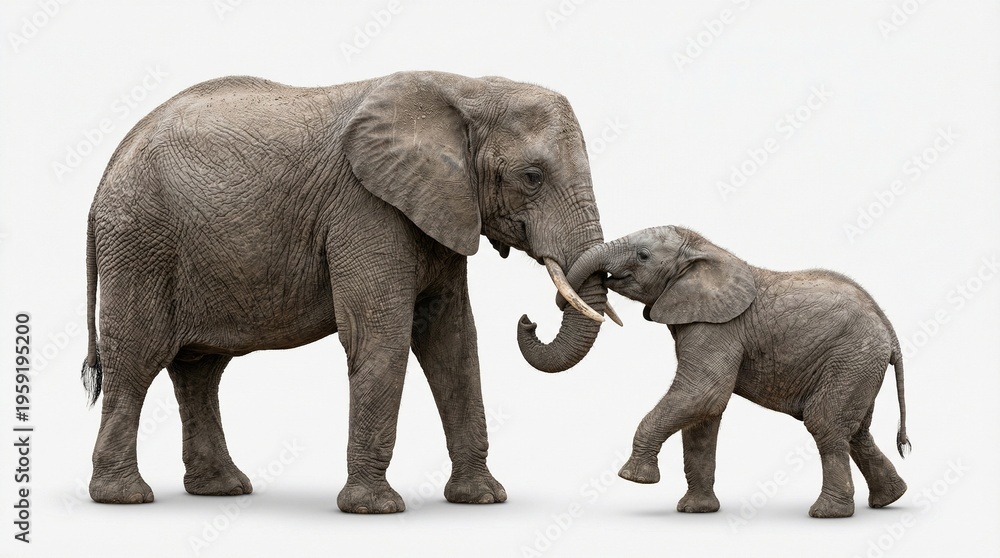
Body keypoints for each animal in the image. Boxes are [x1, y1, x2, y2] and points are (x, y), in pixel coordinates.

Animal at [79, 71, 615, 513]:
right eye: (532, 177)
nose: (530, 319)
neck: (466, 89)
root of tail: (106, 170)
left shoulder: (441, 209)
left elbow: (454, 342)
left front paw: (482, 499)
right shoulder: (365, 206)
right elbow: (382, 336)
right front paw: (374, 508)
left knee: (199, 371)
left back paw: (222, 489)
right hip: (140, 243)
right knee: (137, 358)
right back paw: (124, 497)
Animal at [560, 225, 910, 518]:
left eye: (643, 256)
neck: (703, 249)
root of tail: (890, 330)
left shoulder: (720, 327)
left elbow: (703, 395)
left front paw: (634, 478)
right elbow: (702, 416)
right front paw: (696, 511)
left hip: (852, 357)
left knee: (825, 421)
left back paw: (828, 514)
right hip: (859, 364)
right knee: (856, 432)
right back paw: (890, 499)